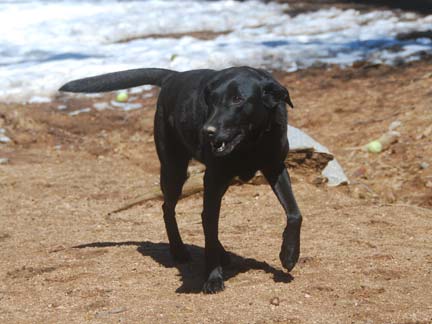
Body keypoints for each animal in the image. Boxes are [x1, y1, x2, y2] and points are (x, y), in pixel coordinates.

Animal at [59, 67, 302, 294]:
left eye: (238, 99)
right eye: (211, 101)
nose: (207, 131)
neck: (250, 144)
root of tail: (173, 76)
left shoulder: (276, 168)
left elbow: (295, 213)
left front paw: (289, 254)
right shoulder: (213, 179)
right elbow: (209, 228)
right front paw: (213, 278)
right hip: (173, 171)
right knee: (169, 208)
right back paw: (179, 250)